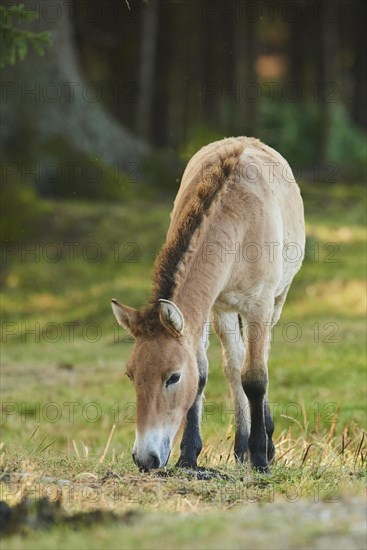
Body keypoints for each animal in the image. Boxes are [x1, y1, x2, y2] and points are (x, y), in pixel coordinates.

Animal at [111, 138, 304, 474]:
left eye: (173, 377)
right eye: (131, 375)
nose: (145, 459)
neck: (239, 222)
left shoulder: (260, 306)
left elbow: (256, 378)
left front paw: (261, 459)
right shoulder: (212, 309)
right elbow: (203, 375)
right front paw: (189, 456)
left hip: (276, 303)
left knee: (256, 361)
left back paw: (264, 445)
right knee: (234, 364)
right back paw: (240, 448)